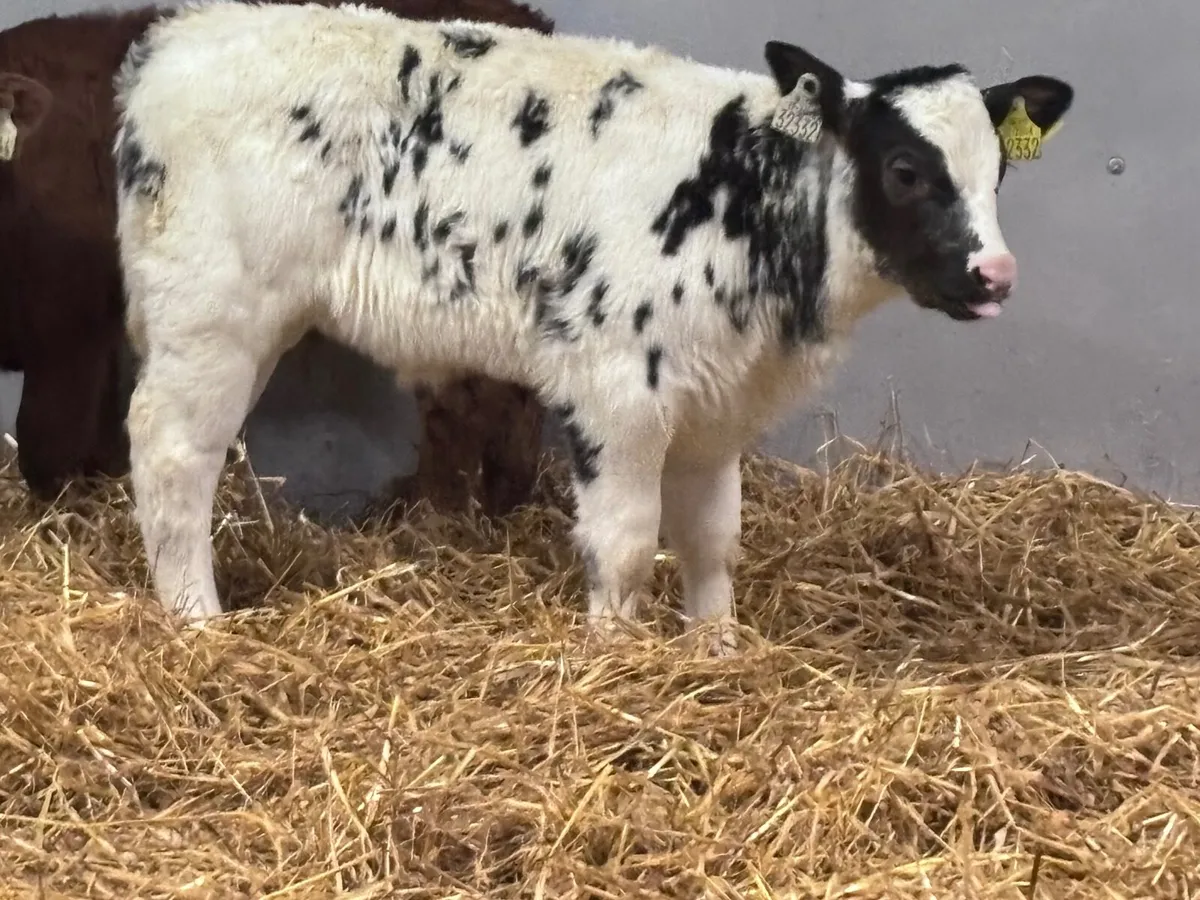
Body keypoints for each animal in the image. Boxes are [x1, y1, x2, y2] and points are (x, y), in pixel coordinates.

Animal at [112, 1, 1074, 651]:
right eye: (906, 169)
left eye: (997, 173)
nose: (995, 277)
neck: (742, 200)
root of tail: (180, 38)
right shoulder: (616, 391)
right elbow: (625, 543)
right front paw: (614, 655)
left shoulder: (715, 405)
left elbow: (711, 539)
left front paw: (715, 650)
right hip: (212, 315)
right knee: (172, 454)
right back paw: (196, 620)